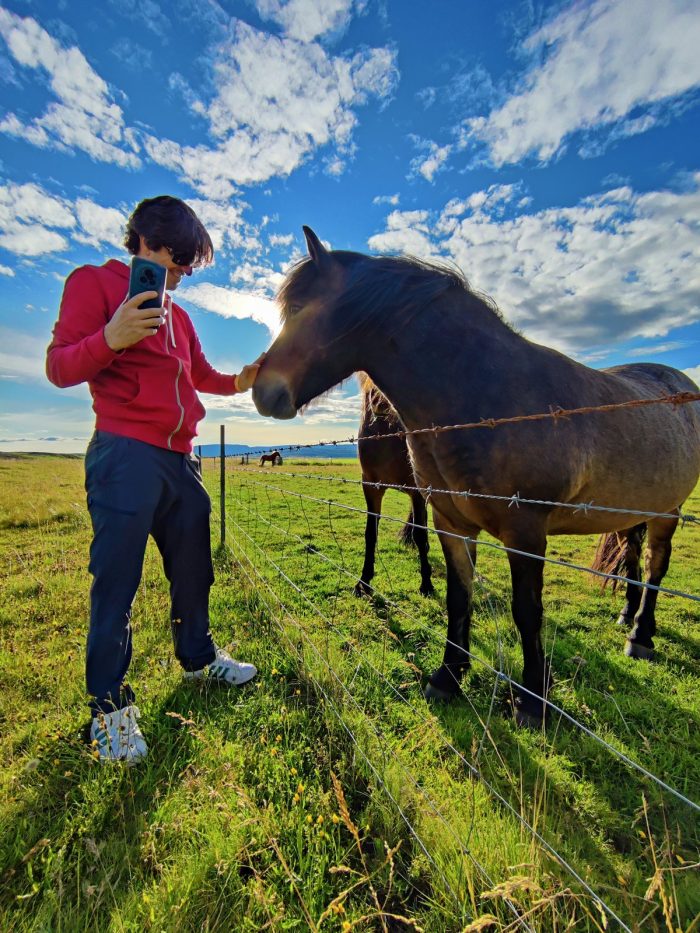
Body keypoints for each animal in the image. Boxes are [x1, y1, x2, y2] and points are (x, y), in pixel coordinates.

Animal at [355, 374, 434, 597]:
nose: (381, 402)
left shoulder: (417, 492)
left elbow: (420, 534)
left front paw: (426, 584)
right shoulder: (371, 486)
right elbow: (370, 533)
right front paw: (364, 582)